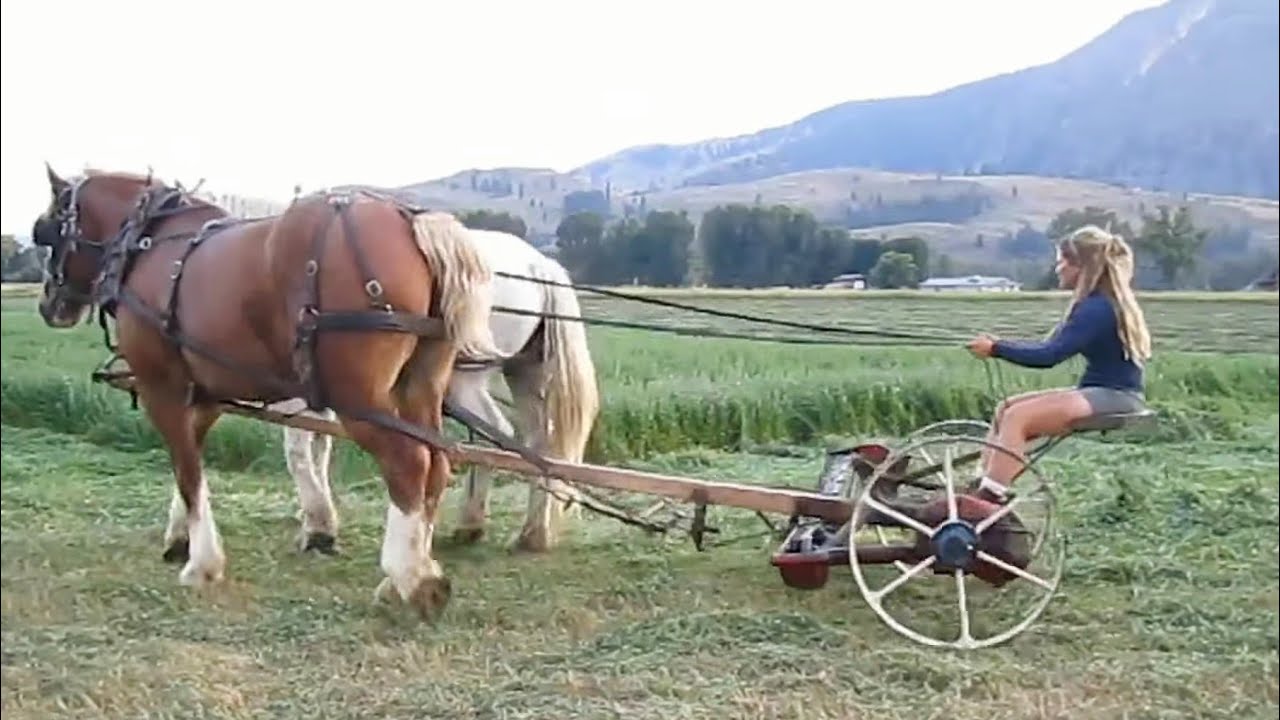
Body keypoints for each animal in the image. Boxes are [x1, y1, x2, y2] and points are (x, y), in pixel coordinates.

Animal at [30, 164, 499, 621]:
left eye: (47, 231)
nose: (49, 304)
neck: (147, 243)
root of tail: (409, 220)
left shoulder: (161, 387)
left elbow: (187, 470)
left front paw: (202, 564)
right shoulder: (205, 395)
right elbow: (189, 461)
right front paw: (179, 538)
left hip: (357, 396)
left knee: (408, 462)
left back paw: (412, 578)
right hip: (419, 384)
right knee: (437, 461)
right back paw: (408, 572)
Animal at [275, 227, 601, 555]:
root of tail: (538, 265)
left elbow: (298, 451)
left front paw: (317, 527)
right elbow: (319, 448)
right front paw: (320, 521)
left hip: (463, 380)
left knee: (494, 432)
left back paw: (472, 522)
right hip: (524, 373)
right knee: (538, 444)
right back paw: (531, 533)